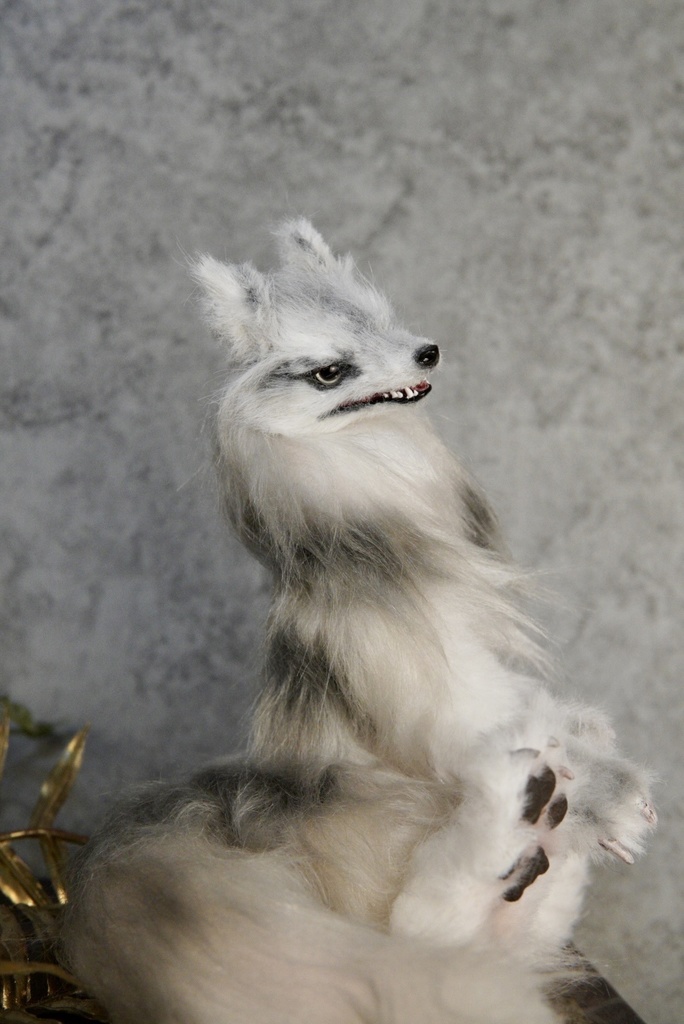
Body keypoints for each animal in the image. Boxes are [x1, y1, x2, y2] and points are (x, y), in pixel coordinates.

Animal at [61, 220, 656, 1024]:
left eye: (386, 321)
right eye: (330, 373)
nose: (427, 352)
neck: (378, 467)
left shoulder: (493, 678)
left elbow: (558, 718)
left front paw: (591, 746)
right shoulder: (450, 701)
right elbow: (531, 736)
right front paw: (610, 795)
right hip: (375, 852)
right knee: (425, 934)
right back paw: (518, 812)